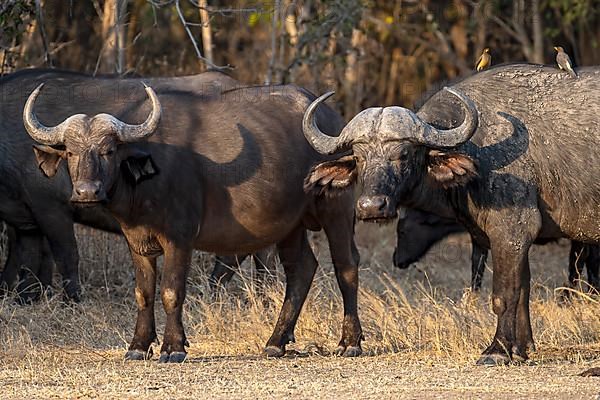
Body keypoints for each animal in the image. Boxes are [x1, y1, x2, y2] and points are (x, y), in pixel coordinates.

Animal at [22, 72, 360, 362]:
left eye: (109, 150)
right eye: (70, 152)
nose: (87, 191)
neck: (147, 180)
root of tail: (334, 122)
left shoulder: (179, 239)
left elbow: (171, 291)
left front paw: (173, 347)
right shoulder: (137, 241)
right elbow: (143, 293)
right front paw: (138, 346)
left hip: (337, 210)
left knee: (346, 266)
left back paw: (349, 342)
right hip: (290, 226)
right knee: (301, 269)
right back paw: (276, 342)